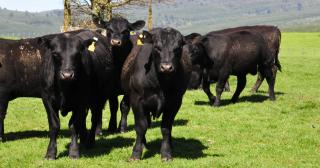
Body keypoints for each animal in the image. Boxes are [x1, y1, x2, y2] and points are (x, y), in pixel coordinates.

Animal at [122, 28, 192, 161]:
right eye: (156, 47)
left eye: (178, 48)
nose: (166, 67)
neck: (160, 83)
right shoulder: (136, 100)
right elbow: (141, 126)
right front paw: (136, 153)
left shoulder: (175, 102)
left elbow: (166, 127)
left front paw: (166, 153)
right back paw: (143, 144)